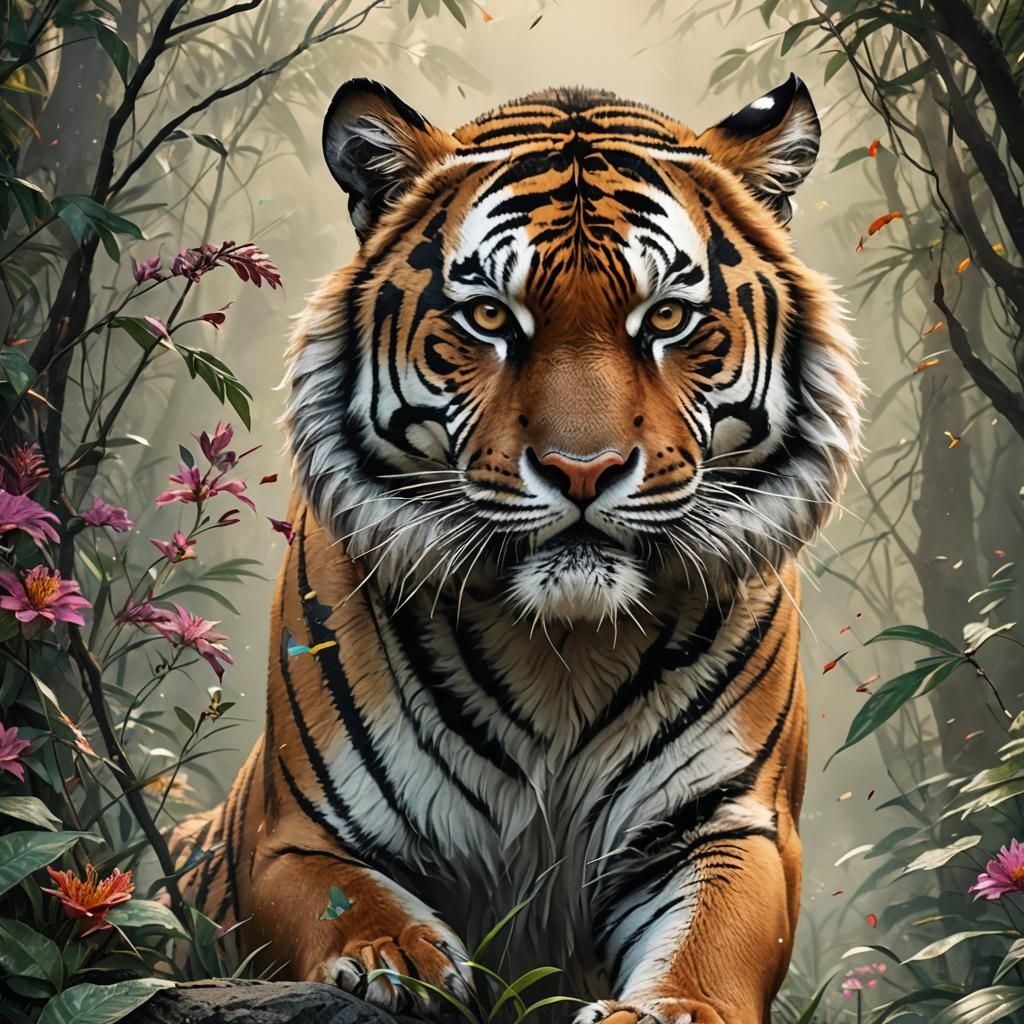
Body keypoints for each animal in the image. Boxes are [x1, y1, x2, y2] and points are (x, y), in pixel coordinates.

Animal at [172, 75, 861, 1024]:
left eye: (667, 317)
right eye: (490, 316)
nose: (584, 470)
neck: (560, 648)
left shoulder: (726, 822)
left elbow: (709, 942)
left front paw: (666, 1010)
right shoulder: (294, 835)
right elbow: (349, 900)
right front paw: (401, 964)